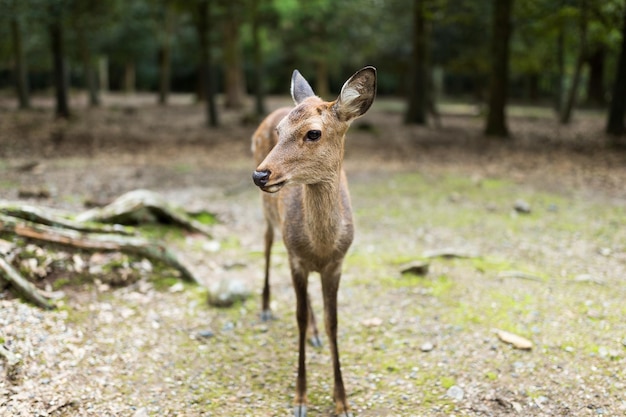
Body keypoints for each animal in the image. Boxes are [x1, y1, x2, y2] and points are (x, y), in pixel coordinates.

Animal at [250, 66, 376, 414]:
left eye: (314, 133)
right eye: (279, 132)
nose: (260, 175)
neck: (321, 246)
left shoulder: (337, 263)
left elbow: (334, 323)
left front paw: (342, 401)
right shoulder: (296, 258)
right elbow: (299, 317)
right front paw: (300, 398)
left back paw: (315, 334)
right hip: (270, 216)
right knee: (267, 243)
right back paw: (265, 307)